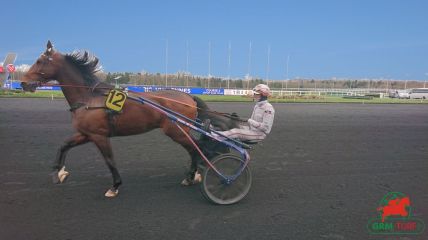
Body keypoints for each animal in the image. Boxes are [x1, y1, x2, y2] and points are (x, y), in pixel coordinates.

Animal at [21, 41, 239, 198]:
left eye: (40, 61)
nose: (23, 83)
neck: (89, 97)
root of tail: (188, 96)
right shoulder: (87, 133)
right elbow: (64, 146)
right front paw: (58, 173)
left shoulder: (99, 136)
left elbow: (110, 160)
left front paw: (115, 186)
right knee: (195, 149)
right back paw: (194, 175)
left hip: (176, 131)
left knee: (195, 149)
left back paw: (194, 175)